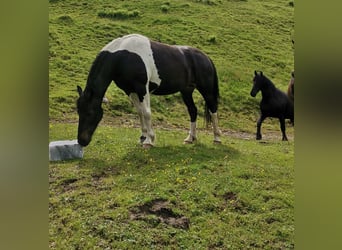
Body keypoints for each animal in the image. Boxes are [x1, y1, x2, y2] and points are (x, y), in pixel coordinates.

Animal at [76, 33, 222, 146]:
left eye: (89, 113)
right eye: (79, 111)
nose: (82, 141)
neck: (123, 56)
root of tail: (206, 57)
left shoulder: (142, 88)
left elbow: (146, 112)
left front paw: (149, 140)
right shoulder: (130, 90)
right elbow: (140, 112)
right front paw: (143, 137)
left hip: (207, 91)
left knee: (213, 109)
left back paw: (217, 138)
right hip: (186, 91)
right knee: (193, 111)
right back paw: (190, 138)